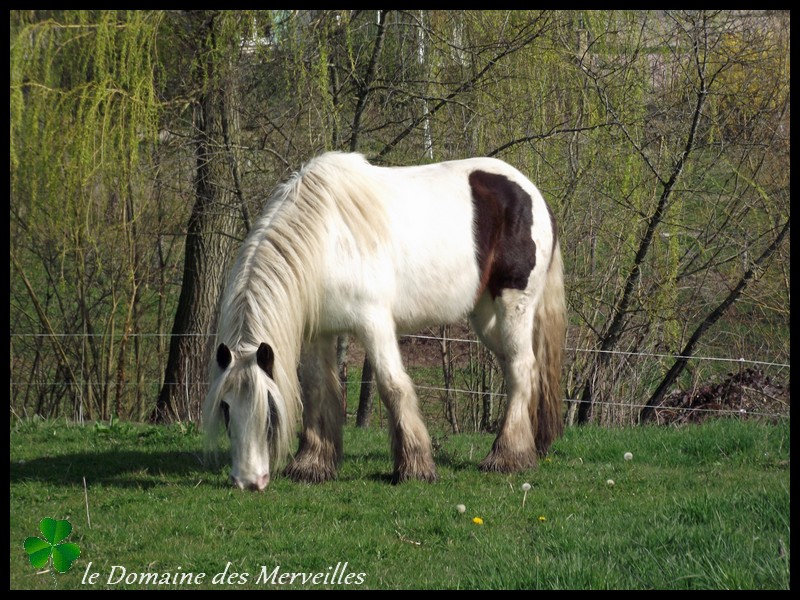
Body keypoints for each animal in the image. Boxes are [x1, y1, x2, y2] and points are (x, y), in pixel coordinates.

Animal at [203, 151, 564, 492]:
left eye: (270, 411)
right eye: (226, 408)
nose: (248, 481)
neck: (327, 240)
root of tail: (531, 192)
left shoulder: (374, 323)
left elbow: (393, 386)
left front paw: (415, 468)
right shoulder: (317, 332)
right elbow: (317, 389)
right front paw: (313, 465)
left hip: (514, 305)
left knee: (521, 368)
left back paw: (507, 456)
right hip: (486, 316)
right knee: (519, 369)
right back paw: (529, 445)